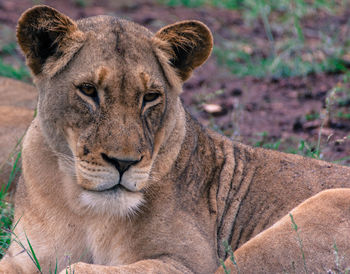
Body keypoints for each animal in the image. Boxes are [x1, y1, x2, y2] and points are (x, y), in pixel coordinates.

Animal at [0, 5, 350, 272]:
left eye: (150, 97)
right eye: (88, 90)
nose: (123, 163)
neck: (83, 208)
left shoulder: (187, 262)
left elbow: (77, 268)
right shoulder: (23, 255)